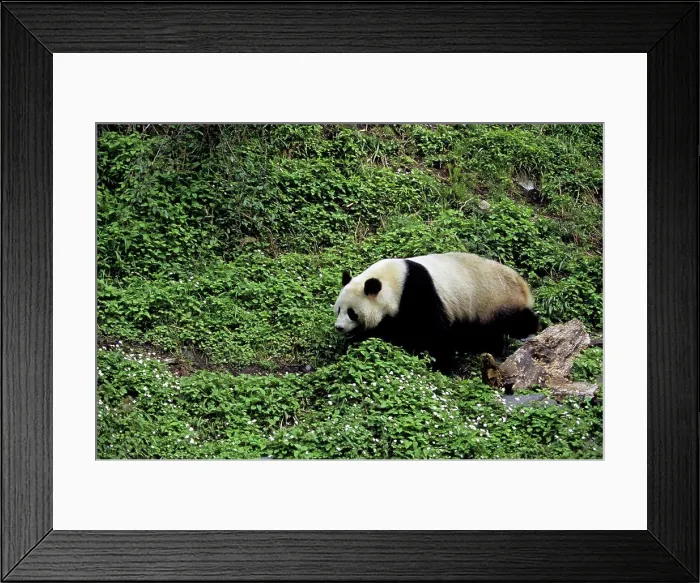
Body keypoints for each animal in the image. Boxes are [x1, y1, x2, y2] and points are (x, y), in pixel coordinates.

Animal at [333, 252, 539, 371]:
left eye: (352, 312)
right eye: (338, 310)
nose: (339, 328)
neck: (393, 282)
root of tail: (524, 286)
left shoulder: (418, 294)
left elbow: (433, 333)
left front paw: (442, 364)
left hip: (496, 300)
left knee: (514, 323)